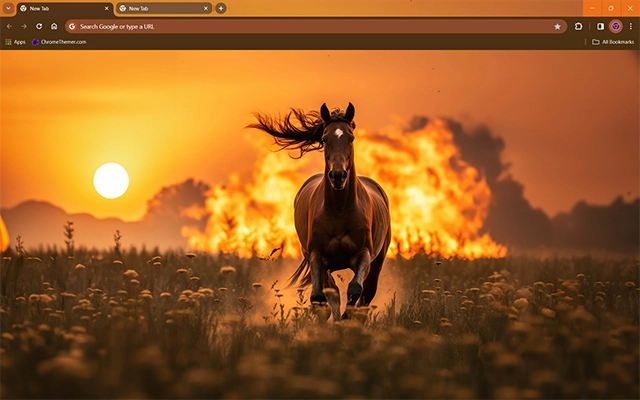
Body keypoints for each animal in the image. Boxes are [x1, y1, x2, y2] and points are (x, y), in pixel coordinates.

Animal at [249, 103, 391, 320]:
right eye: (325, 138)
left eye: (351, 137)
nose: (338, 175)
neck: (340, 211)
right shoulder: (317, 256)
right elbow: (320, 297)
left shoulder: (364, 254)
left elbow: (354, 291)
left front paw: (346, 320)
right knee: (333, 293)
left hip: (377, 263)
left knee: (366, 296)